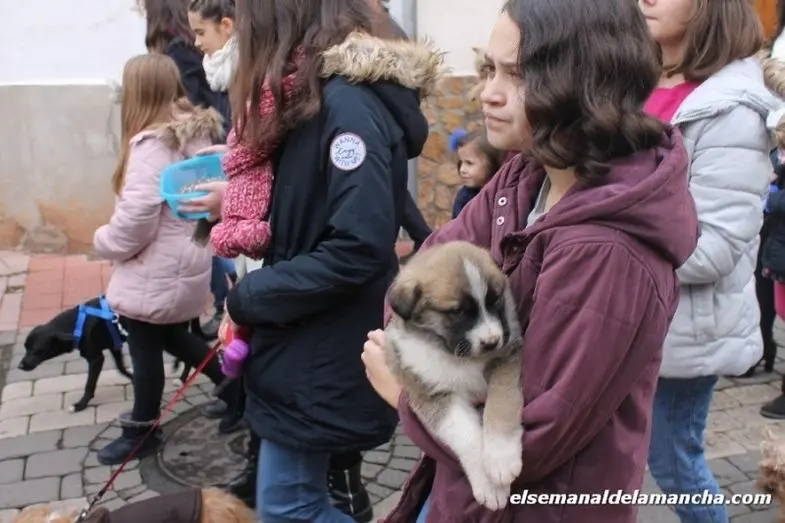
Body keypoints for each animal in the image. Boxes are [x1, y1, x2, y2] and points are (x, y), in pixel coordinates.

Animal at [384, 241, 524, 511]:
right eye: (459, 311)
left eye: (496, 301)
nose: (492, 342)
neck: (459, 357)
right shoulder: (431, 393)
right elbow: (466, 436)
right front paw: (489, 485)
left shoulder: (506, 359)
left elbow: (501, 404)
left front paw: (501, 456)